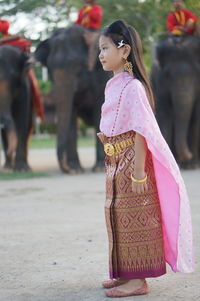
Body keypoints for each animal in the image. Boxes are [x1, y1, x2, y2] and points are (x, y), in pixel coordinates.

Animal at [34, 25, 109, 173]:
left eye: (76, 65)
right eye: (49, 68)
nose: (66, 169)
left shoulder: (102, 75)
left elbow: (99, 110)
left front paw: (98, 168)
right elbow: (71, 116)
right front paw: (75, 169)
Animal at [152, 34, 200, 169]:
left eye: (196, 75)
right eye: (168, 75)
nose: (188, 154)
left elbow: (196, 119)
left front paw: (192, 165)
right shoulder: (159, 85)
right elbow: (165, 116)